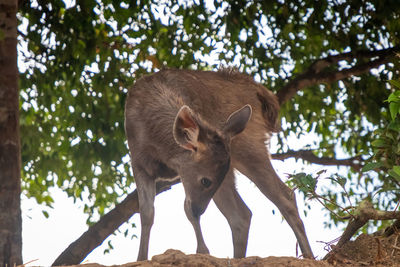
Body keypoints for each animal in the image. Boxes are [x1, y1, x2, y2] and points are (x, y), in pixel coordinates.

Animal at [123, 67, 314, 262]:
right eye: (205, 181)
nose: (199, 210)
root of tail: (263, 93)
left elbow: (182, 209)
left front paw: (202, 251)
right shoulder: (138, 163)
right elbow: (147, 212)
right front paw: (140, 258)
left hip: (249, 145)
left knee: (285, 195)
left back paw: (309, 256)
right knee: (241, 214)